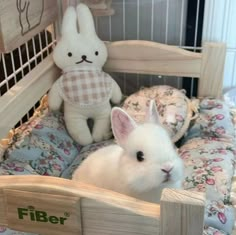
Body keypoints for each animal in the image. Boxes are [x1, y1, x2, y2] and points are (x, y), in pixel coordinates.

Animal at [47, 4, 121, 145]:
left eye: (96, 52)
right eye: (69, 54)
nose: (84, 56)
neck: (83, 68)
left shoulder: (106, 77)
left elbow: (115, 90)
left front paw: (118, 99)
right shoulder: (59, 82)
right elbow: (54, 97)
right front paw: (53, 106)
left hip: (103, 112)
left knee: (101, 123)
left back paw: (97, 137)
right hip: (76, 116)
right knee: (79, 129)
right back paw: (89, 139)